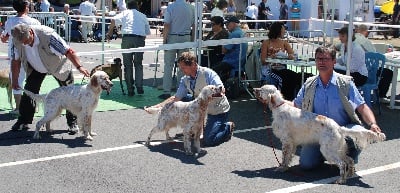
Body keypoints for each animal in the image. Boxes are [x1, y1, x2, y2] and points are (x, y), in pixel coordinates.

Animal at [255, 85, 386, 184]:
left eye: (262, 89)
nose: (254, 89)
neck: (279, 108)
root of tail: (338, 128)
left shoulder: (286, 141)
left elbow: (284, 157)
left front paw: (281, 168)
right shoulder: (292, 143)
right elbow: (288, 157)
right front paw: (285, 167)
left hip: (327, 150)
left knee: (342, 163)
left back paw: (341, 180)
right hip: (337, 149)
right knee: (349, 160)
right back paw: (349, 174)